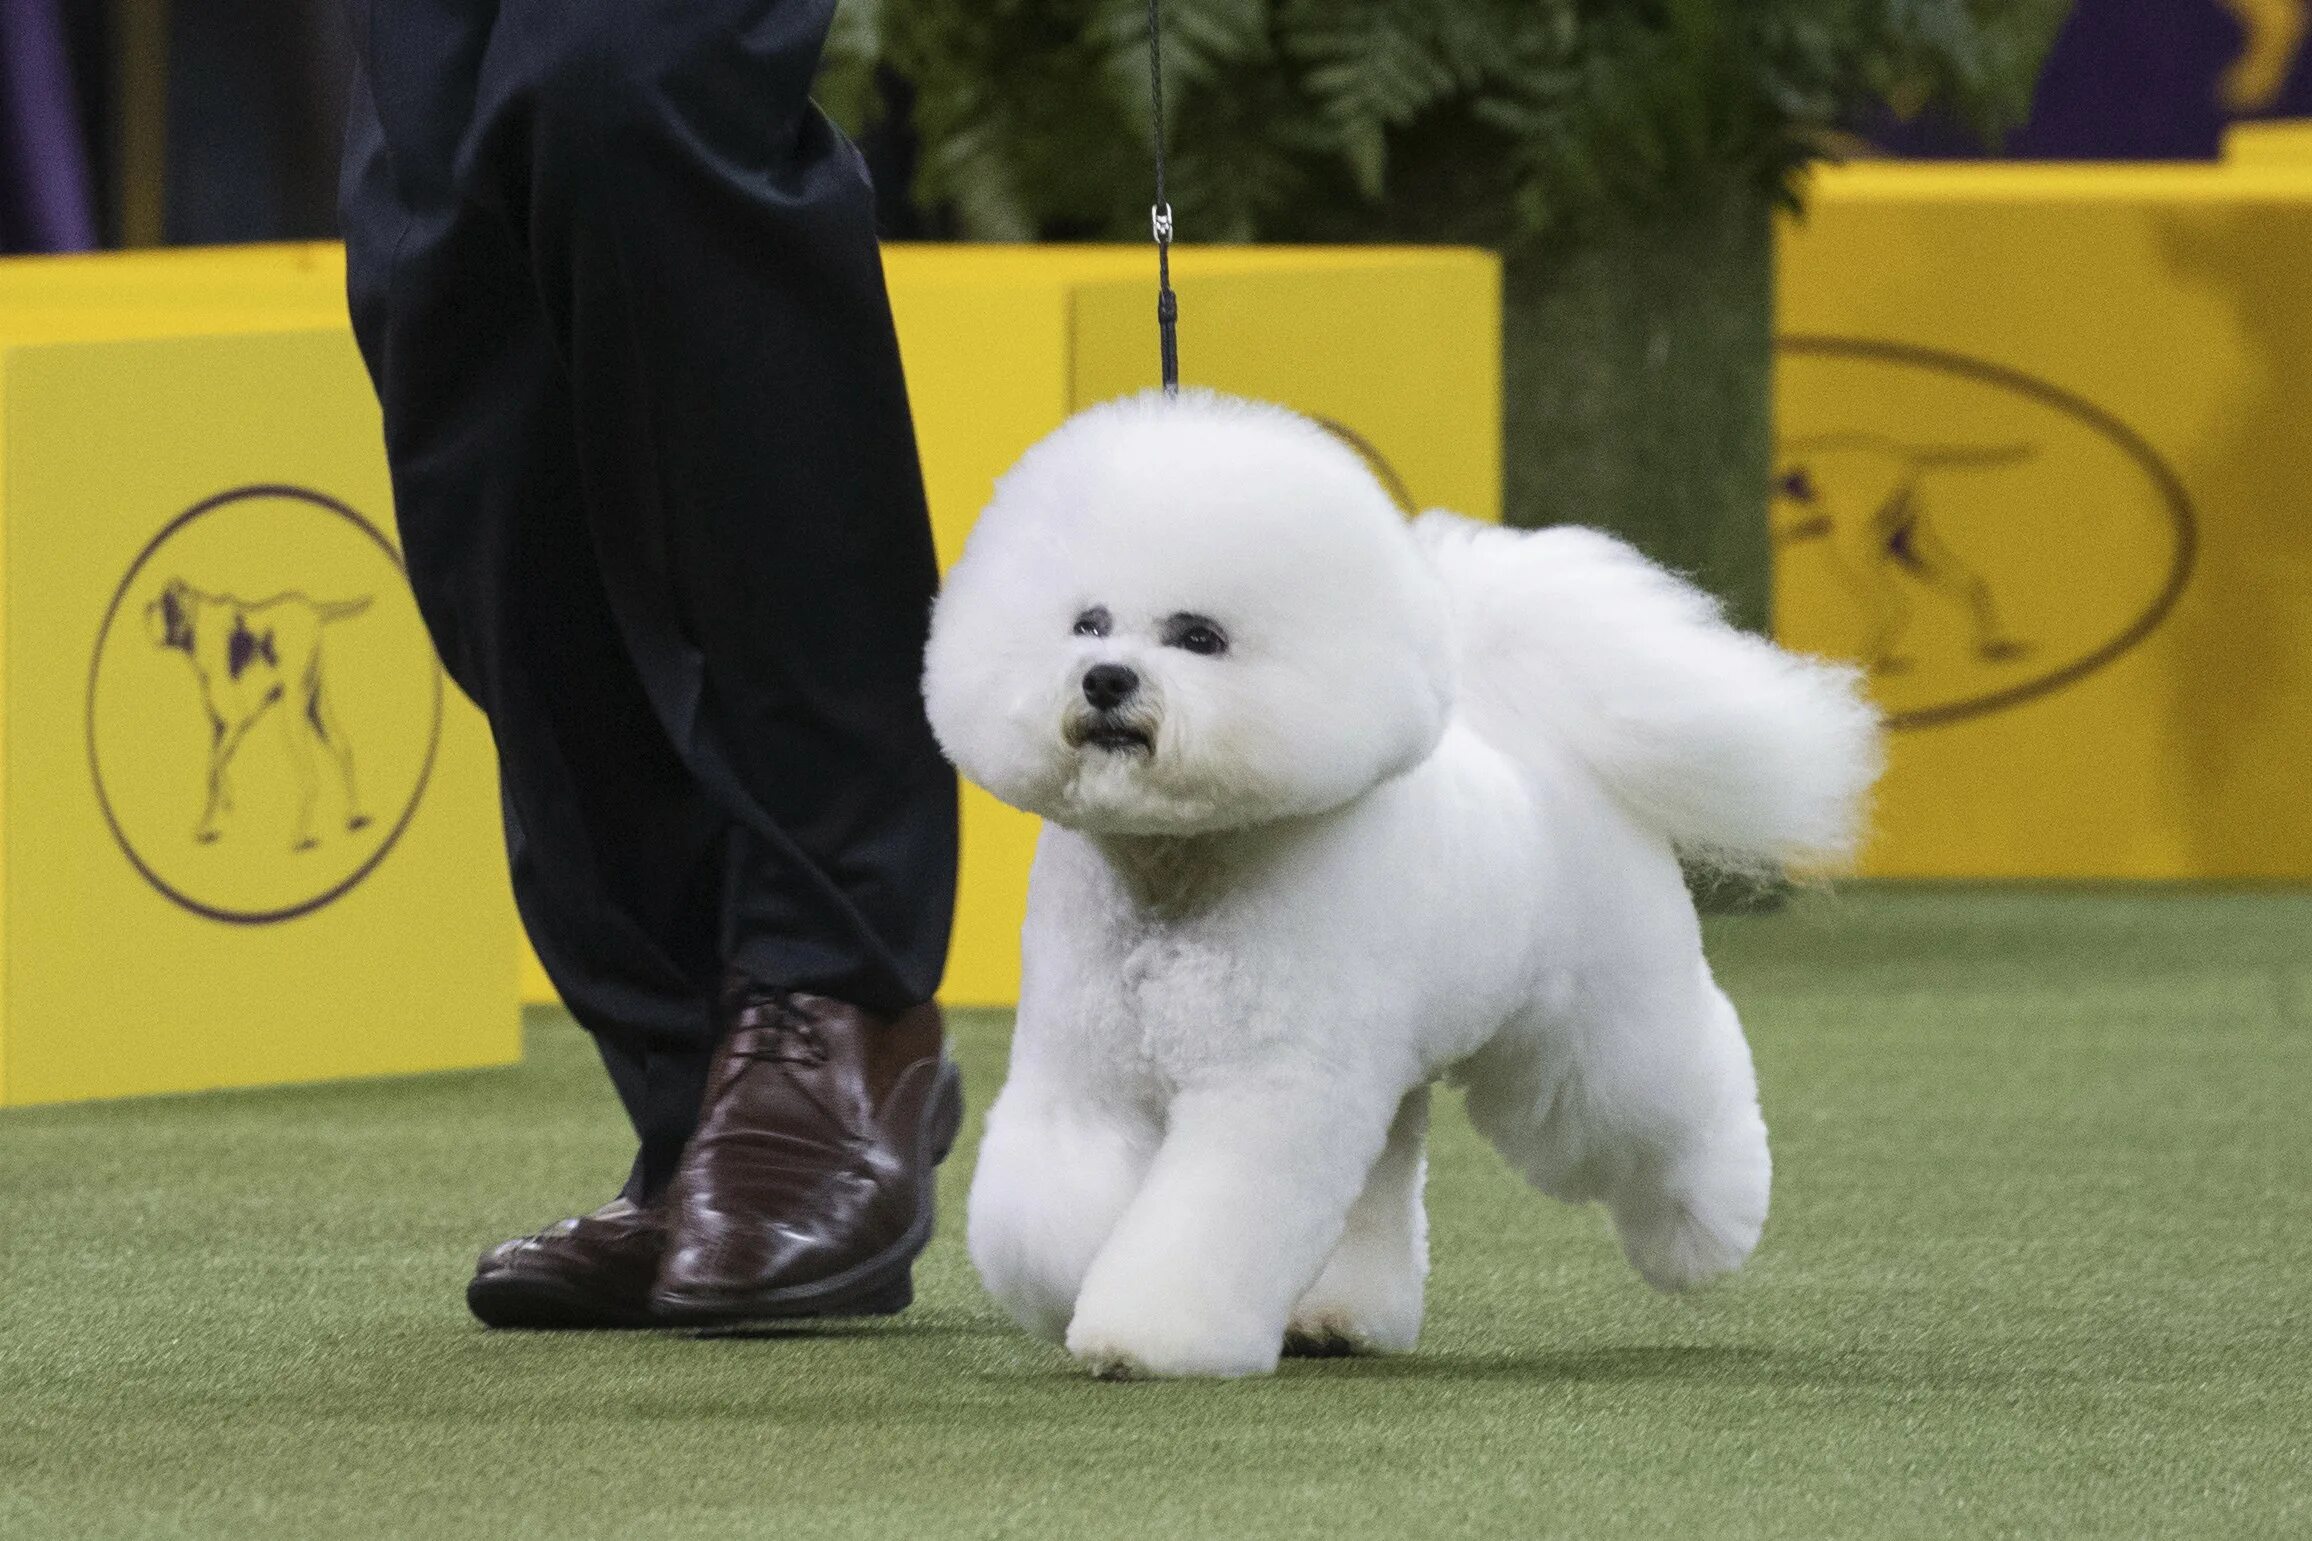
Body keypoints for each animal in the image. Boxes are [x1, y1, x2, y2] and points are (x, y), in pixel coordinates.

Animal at [920, 392, 1877, 1376]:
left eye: (1200, 637)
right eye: (1087, 622)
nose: (1105, 679)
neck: (1175, 875)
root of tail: (1541, 741)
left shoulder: (1268, 1088)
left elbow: (1208, 1225)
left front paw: (1147, 1335)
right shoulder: (1083, 1075)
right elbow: (1046, 1213)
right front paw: (1076, 1282)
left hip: (1590, 1030)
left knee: (1665, 1100)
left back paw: (1703, 1232)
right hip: (1395, 1069)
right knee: (1383, 1178)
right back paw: (1337, 1316)